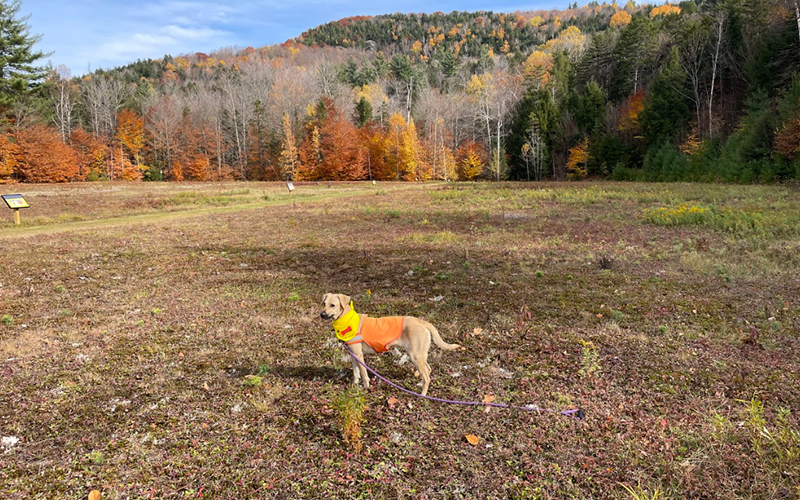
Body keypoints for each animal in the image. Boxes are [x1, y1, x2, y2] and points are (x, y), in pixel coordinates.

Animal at [318, 292, 460, 394]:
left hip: (415, 356)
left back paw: (422, 395)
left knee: (427, 377)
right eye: (324, 303)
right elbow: (356, 372)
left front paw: (366, 388)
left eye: (332, 305)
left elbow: (363, 374)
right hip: (420, 355)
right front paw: (355, 385)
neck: (346, 319)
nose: (322, 314)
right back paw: (420, 384)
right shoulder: (353, 355)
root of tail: (422, 322)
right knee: (428, 370)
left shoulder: (359, 355)